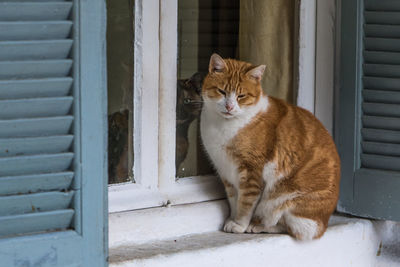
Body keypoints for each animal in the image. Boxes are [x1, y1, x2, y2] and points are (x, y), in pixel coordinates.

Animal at [200, 54, 340, 241]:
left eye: (241, 96)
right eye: (222, 91)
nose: (229, 106)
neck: (223, 126)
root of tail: (324, 222)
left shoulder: (251, 173)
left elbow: (245, 204)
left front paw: (239, 225)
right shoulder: (226, 172)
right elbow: (233, 200)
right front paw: (232, 219)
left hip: (288, 203)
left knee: (288, 227)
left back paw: (257, 226)